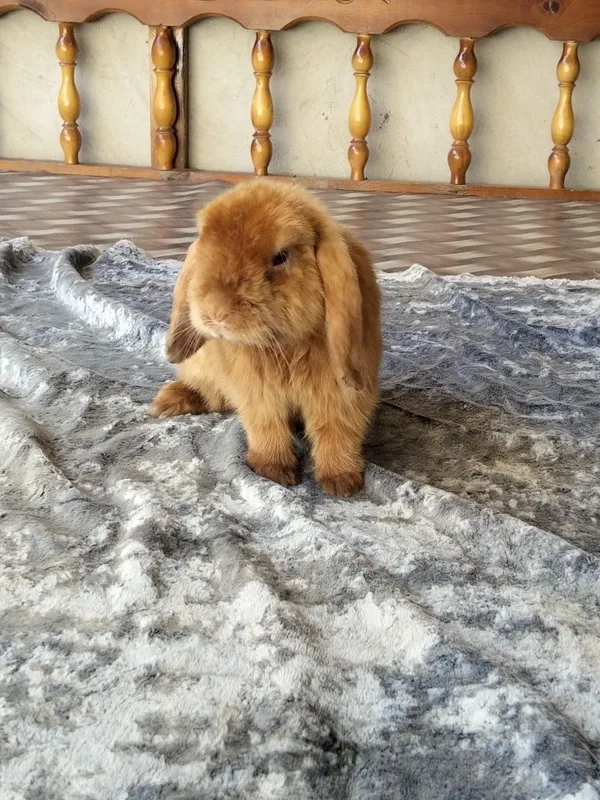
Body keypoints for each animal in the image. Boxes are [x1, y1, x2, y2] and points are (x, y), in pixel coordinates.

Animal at [150, 179, 382, 497]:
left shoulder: (340, 394)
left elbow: (337, 430)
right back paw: (170, 401)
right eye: (205, 245)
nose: (216, 313)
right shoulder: (257, 395)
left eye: (281, 256)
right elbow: (266, 425)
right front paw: (273, 471)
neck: (284, 346)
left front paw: (342, 482)